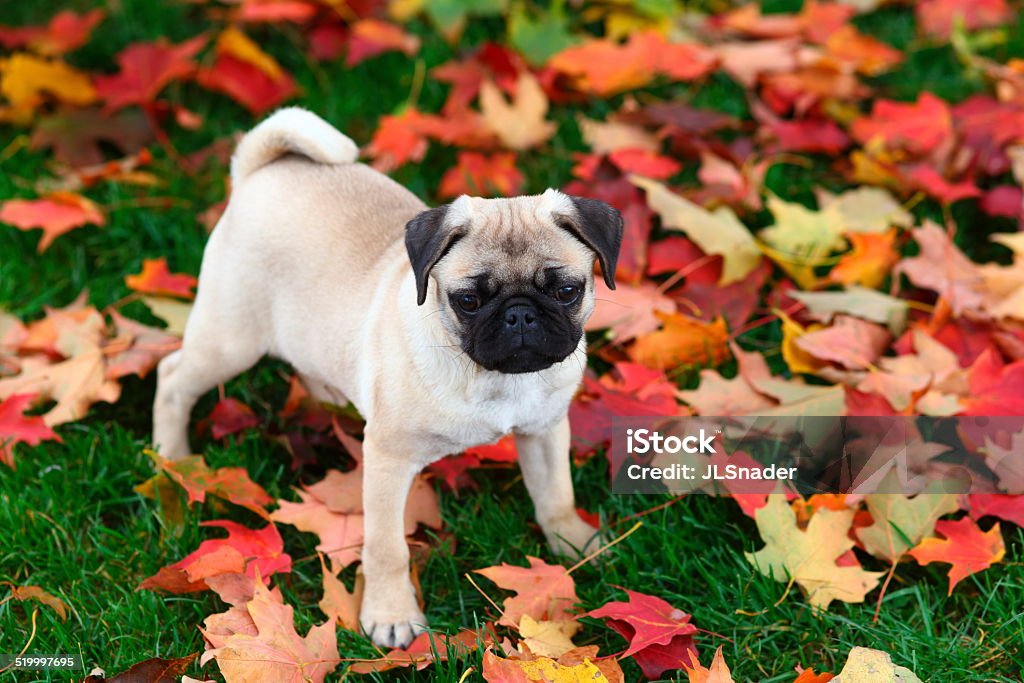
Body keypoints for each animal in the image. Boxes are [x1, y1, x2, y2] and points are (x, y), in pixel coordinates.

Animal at [149, 107, 618, 647]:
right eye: (468, 300)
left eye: (566, 291)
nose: (520, 315)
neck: (495, 379)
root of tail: (259, 171)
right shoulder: (389, 462)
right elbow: (388, 549)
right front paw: (392, 614)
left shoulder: (544, 431)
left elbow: (556, 494)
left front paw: (576, 544)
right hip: (231, 340)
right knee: (172, 377)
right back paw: (172, 456)